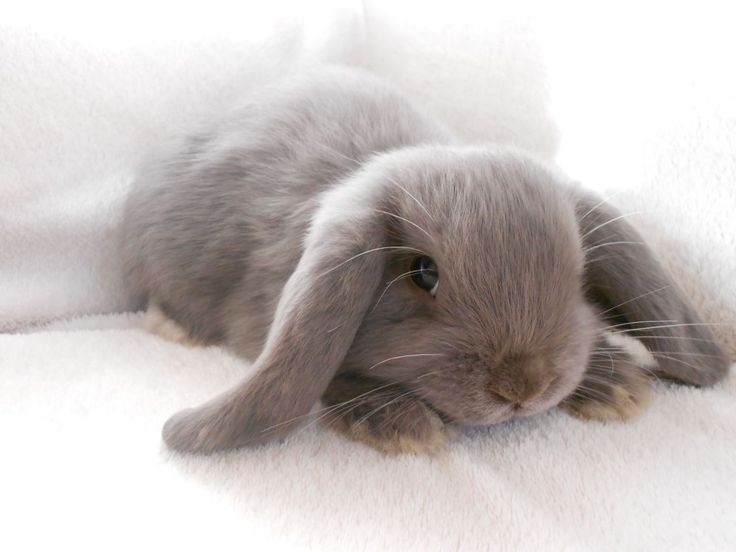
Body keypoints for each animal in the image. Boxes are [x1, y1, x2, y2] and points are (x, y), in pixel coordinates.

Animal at [120, 66, 730, 455]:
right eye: (423, 273)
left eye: (579, 275)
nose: (523, 388)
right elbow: (329, 372)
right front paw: (397, 424)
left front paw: (612, 385)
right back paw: (174, 326)